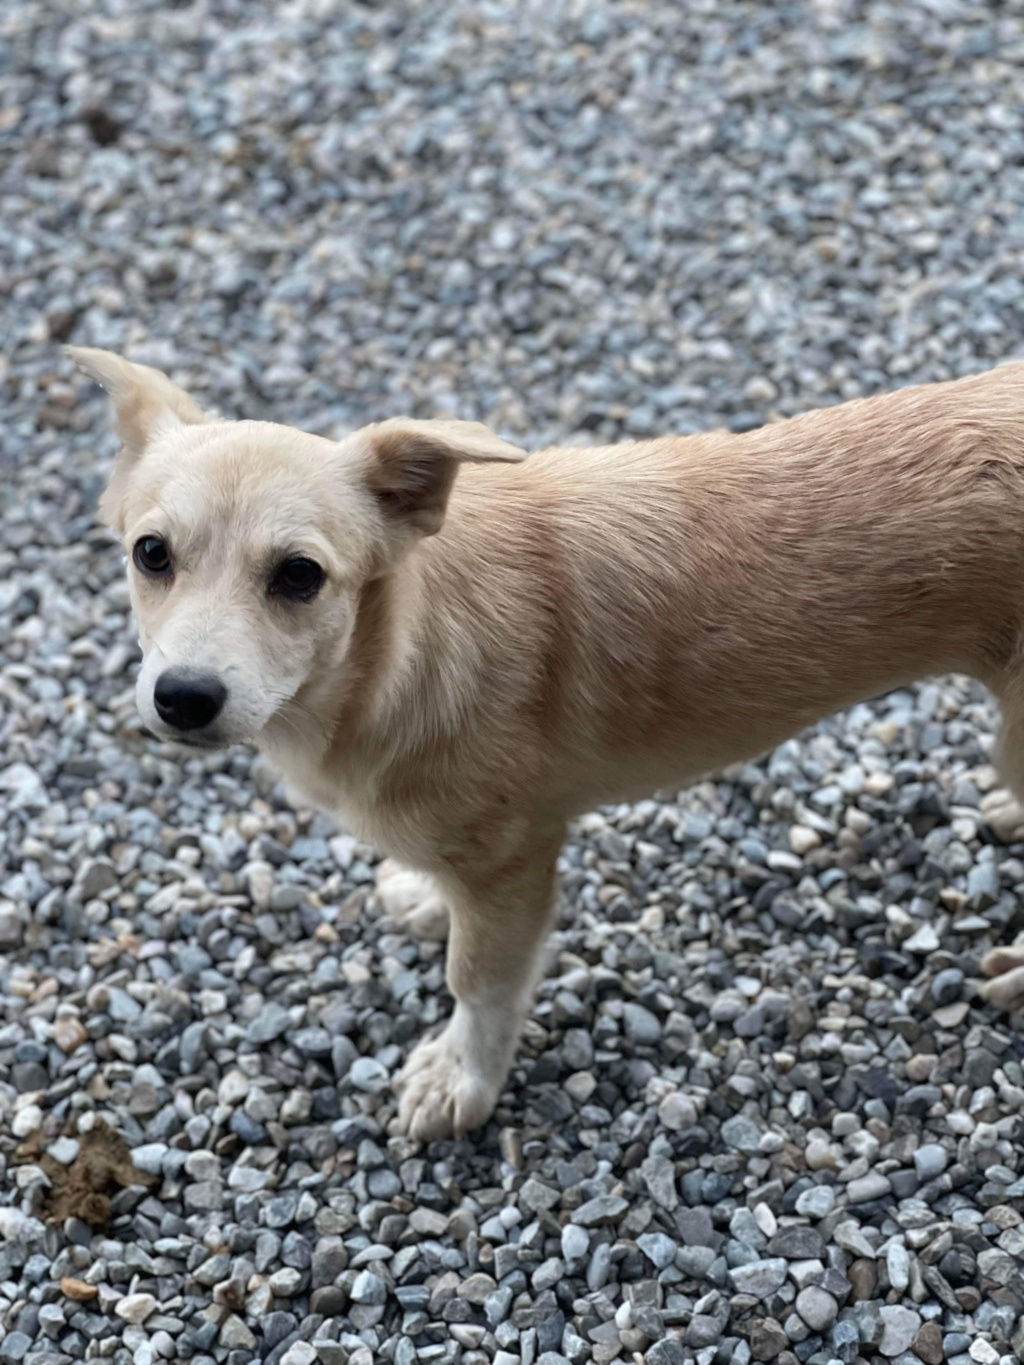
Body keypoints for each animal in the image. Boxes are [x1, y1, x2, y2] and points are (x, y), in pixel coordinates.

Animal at [70, 343, 1024, 1141]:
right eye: (150, 554)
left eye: (300, 576)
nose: (184, 697)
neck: (397, 654)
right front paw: (425, 893)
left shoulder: (515, 862)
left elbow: (478, 981)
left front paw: (463, 1077)